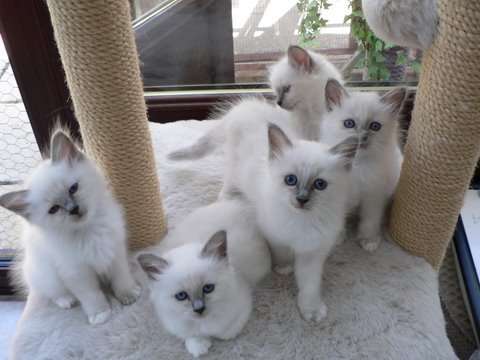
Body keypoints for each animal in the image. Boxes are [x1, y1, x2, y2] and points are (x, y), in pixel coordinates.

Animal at [0, 129, 140, 324]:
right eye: (54, 209)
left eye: (73, 189)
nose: (74, 209)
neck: (88, 230)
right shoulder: (76, 272)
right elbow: (91, 295)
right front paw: (100, 314)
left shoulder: (115, 253)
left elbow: (121, 279)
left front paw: (128, 295)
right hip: (47, 276)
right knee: (52, 293)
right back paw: (67, 301)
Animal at [138, 197, 270, 358]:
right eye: (181, 296)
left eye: (208, 288)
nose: (199, 309)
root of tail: (236, 203)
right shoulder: (173, 322)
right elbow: (190, 336)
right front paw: (200, 346)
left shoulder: (244, 305)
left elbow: (226, 333)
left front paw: (212, 338)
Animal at [221, 105, 356, 322]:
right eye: (290, 180)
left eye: (320, 184)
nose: (301, 199)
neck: (303, 221)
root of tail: (245, 105)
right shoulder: (275, 236)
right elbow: (282, 253)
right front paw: (284, 268)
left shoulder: (313, 252)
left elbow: (310, 285)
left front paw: (311, 310)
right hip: (233, 167)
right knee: (227, 182)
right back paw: (226, 198)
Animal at [320, 80, 406, 252]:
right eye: (349, 124)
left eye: (375, 126)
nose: (362, 137)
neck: (357, 165)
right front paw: (337, 239)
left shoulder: (373, 197)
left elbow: (370, 222)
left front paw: (368, 240)